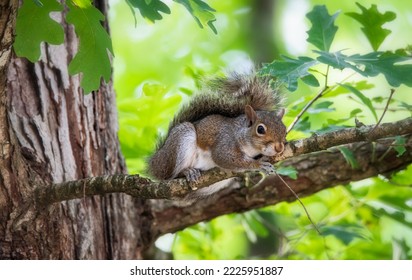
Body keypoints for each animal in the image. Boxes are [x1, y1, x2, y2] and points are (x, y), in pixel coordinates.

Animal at [148, 71, 286, 200]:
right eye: (260, 129)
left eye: (284, 130)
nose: (279, 148)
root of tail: (156, 162)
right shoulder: (225, 140)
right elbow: (223, 157)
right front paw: (260, 165)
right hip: (181, 140)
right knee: (172, 176)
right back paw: (187, 172)